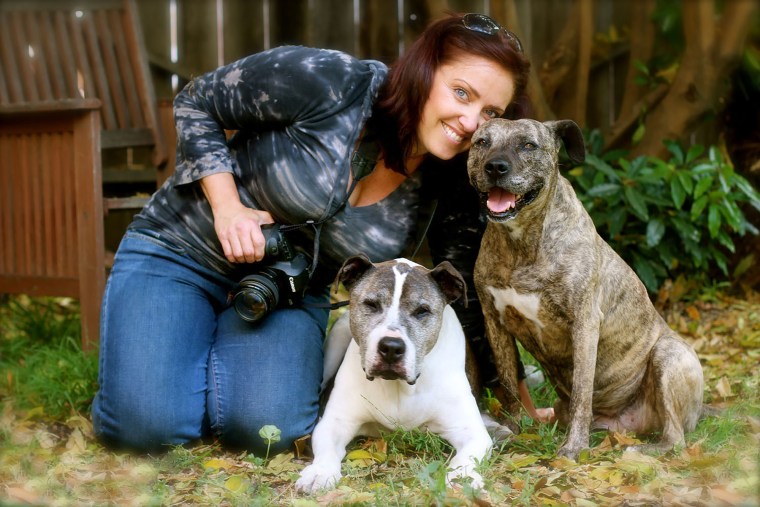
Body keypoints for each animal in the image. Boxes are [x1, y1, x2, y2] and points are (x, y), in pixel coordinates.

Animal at [296, 256, 492, 494]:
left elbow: (466, 458)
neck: (400, 386)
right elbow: (327, 448)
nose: (391, 347)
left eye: (422, 311)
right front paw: (320, 472)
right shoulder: (336, 421)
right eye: (371, 304)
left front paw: (461, 477)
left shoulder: (470, 430)